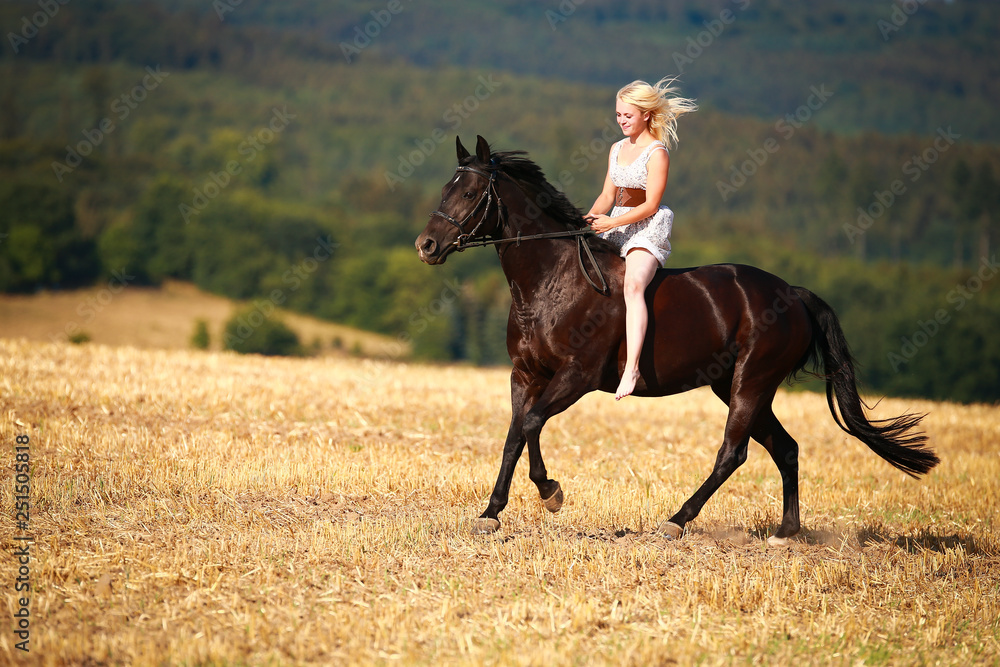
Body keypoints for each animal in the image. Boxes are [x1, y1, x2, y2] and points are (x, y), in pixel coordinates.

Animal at [414, 135, 939, 545]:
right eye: (446, 188)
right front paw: (490, 513)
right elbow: (513, 438)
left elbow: (531, 425)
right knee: (785, 447)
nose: (426, 246)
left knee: (734, 452)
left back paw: (676, 521)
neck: (550, 280)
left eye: (472, 191)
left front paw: (551, 494)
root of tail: (793, 293)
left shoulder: (576, 376)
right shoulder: (524, 375)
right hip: (737, 385)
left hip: (751, 381)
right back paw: (785, 533)